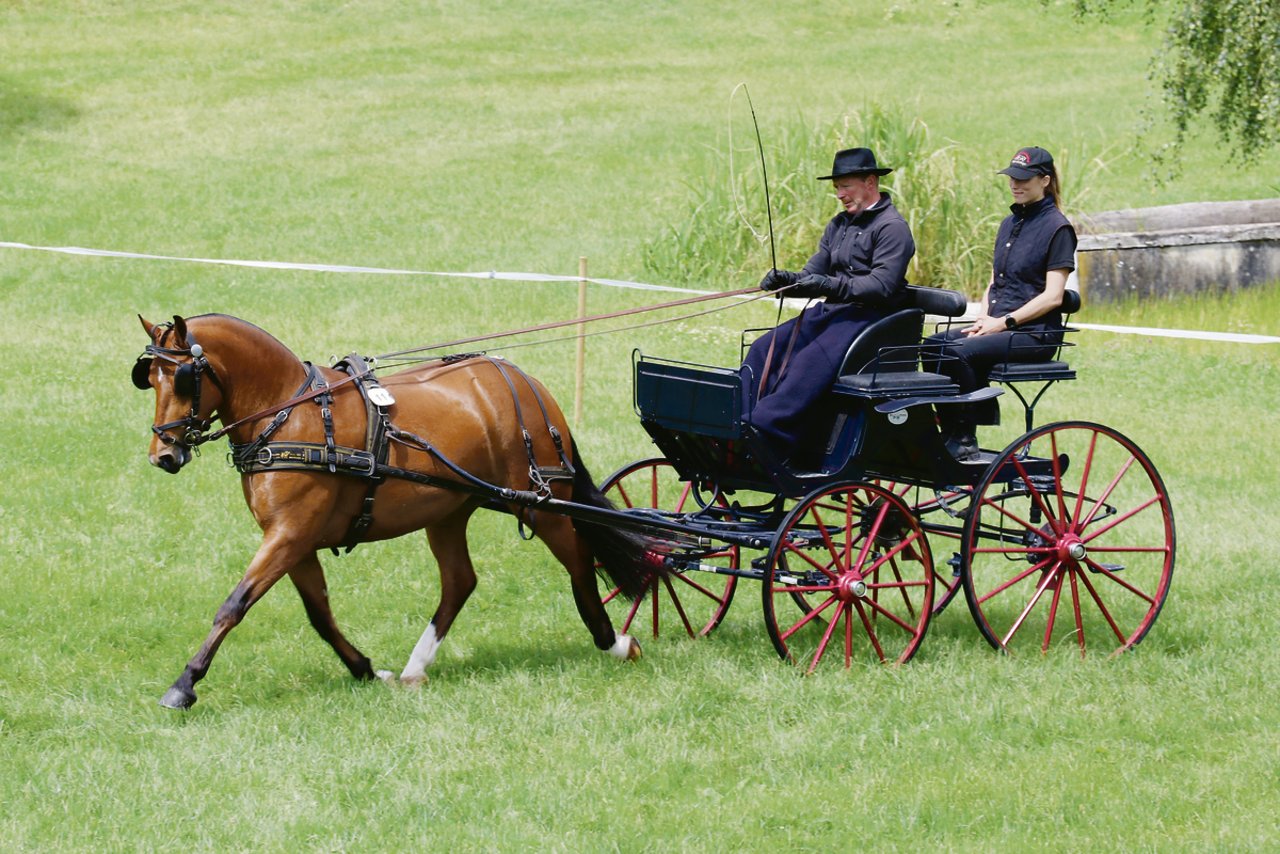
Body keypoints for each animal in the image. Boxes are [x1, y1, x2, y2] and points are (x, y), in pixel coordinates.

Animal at [137, 313, 660, 706]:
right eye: (149, 379)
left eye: (182, 379)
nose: (163, 455)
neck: (291, 413)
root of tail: (525, 381)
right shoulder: (295, 541)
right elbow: (319, 614)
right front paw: (366, 669)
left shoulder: (289, 534)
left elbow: (234, 605)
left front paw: (184, 685)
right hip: (449, 511)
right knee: (460, 581)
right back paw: (415, 667)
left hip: (542, 506)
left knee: (578, 559)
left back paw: (614, 641)